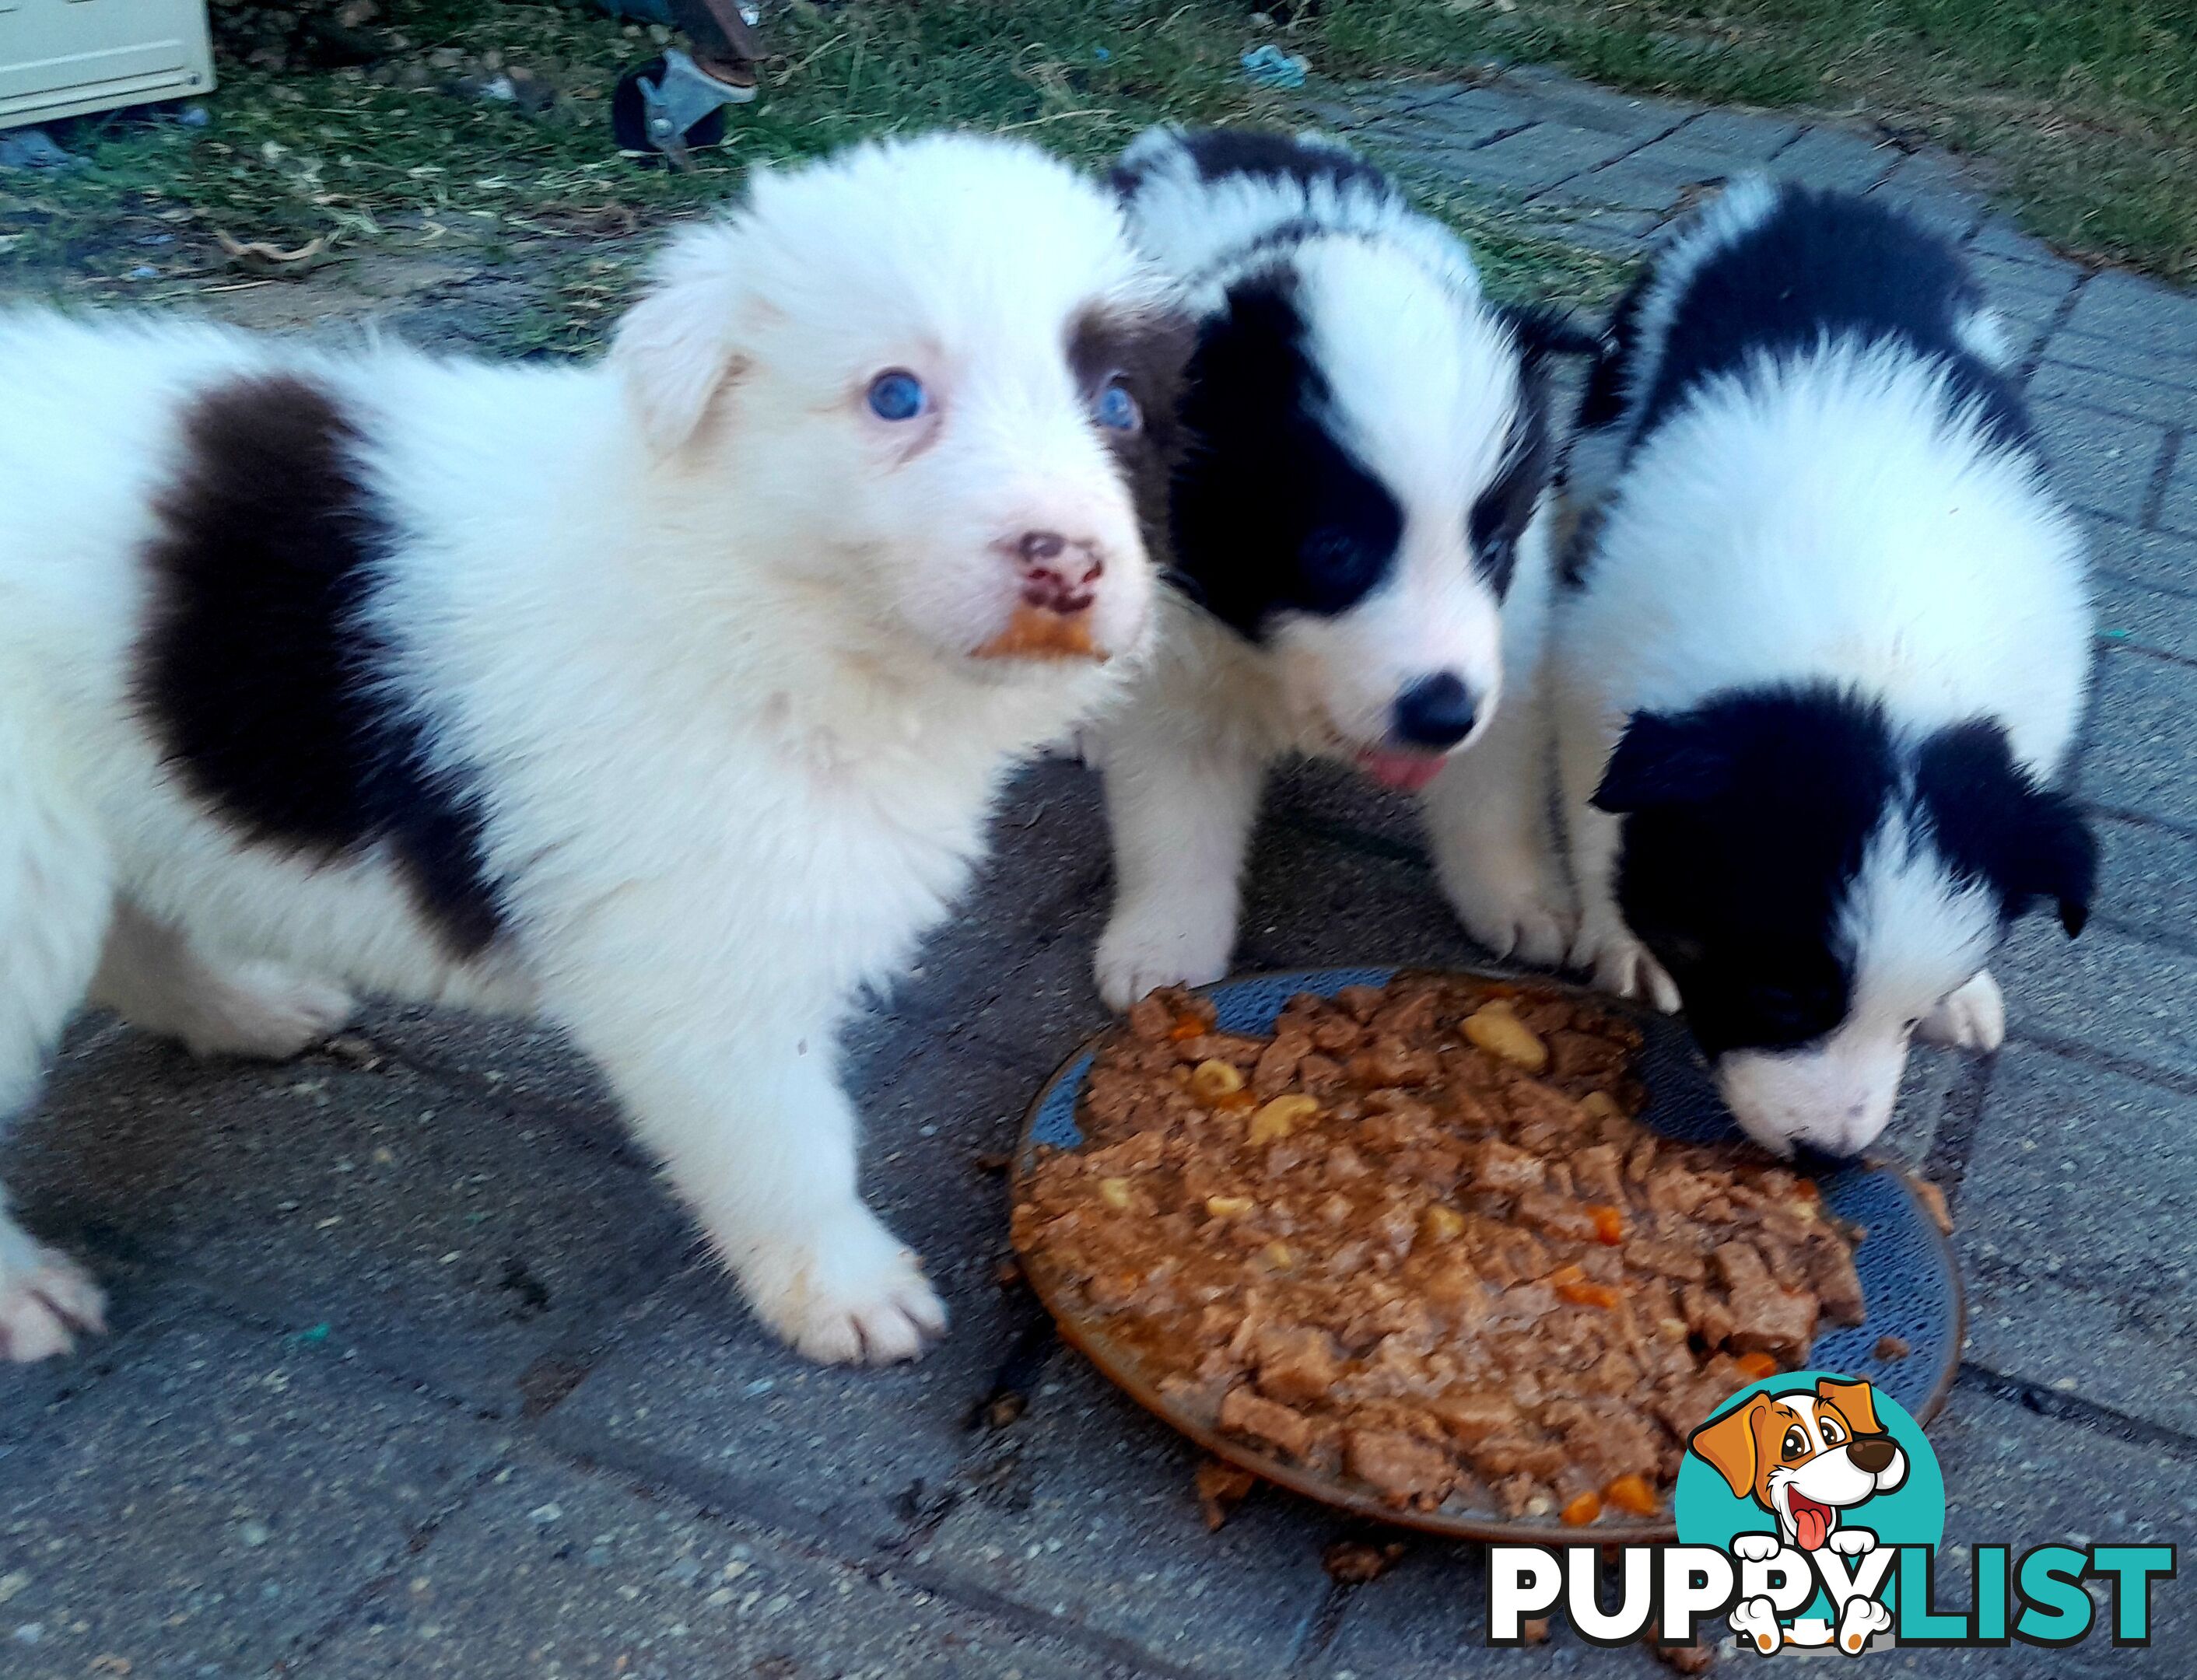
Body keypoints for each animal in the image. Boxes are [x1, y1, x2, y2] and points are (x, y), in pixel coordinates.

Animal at [0, 131, 1195, 1361]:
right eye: (896, 396)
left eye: (1118, 402)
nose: (1069, 562)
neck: (750, 594)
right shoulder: (703, 961)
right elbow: (786, 1143)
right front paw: (846, 1291)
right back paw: (26, 1291)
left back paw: (244, 1010)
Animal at [1089, 128, 1590, 1010]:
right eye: (1333, 551)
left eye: (1492, 550)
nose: (1442, 715)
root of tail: (1192, 136)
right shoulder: (1166, 661)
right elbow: (1171, 817)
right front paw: (1161, 950)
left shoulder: (1507, 645)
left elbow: (1493, 793)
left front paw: (1520, 899)